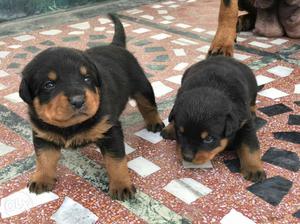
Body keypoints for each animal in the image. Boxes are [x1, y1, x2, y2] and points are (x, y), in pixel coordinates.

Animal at [19, 13, 164, 200]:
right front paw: (41, 178)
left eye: (87, 78)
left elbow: (116, 161)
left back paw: (155, 122)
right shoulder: (42, 135)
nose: (78, 100)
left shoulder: (110, 131)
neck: (71, 126)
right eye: (49, 85)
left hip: (142, 86)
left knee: (148, 105)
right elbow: (44, 158)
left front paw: (121, 185)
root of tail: (115, 45)